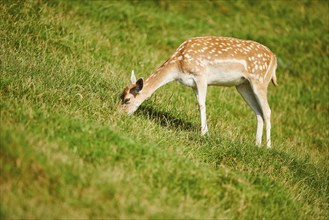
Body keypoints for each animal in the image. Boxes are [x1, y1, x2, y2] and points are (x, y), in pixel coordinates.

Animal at [118, 36, 276, 148]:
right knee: (258, 112)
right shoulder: (193, 84)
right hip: (243, 85)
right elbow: (198, 103)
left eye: (127, 99)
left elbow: (201, 104)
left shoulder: (201, 75)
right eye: (120, 96)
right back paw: (257, 144)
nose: (118, 114)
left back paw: (268, 147)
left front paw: (204, 133)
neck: (178, 65)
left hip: (260, 80)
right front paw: (204, 131)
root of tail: (274, 60)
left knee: (267, 111)